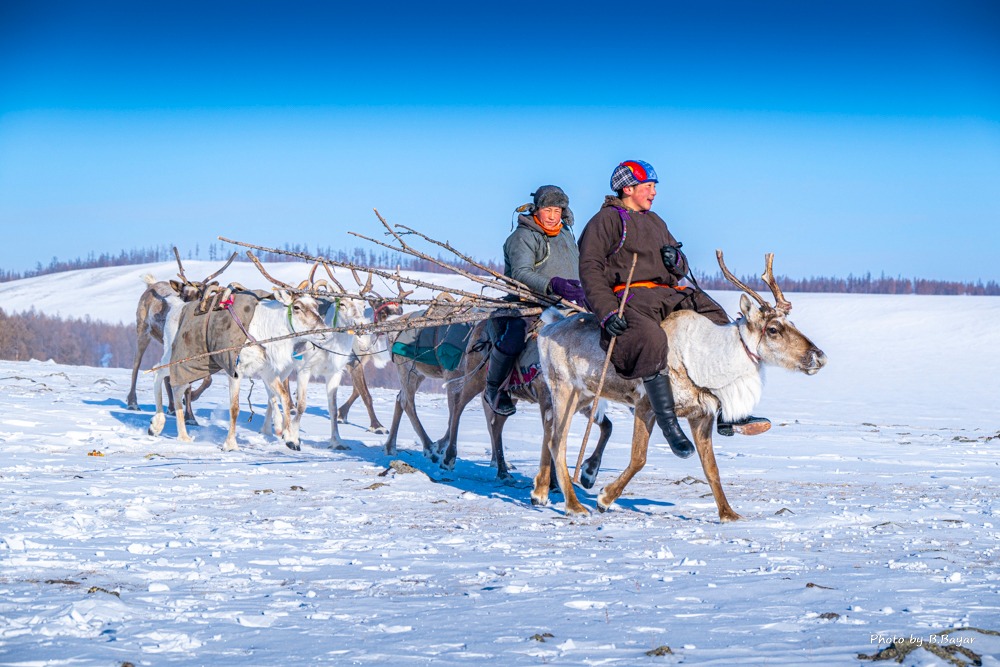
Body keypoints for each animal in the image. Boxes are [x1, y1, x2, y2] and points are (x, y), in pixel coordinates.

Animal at [125, 249, 237, 421]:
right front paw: (189, 415)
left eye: (200, 294)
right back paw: (133, 402)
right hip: (143, 330)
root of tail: (151, 285)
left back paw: (172, 407)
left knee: (165, 372)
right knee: (136, 364)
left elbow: (207, 379)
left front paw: (190, 407)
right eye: (183, 295)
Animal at [533, 251, 827, 520]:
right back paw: (574, 505)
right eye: (774, 329)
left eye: (792, 323)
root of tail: (548, 327)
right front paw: (605, 498)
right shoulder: (646, 405)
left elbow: (712, 469)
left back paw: (541, 492)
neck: (707, 361)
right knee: (557, 441)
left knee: (549, 431)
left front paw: (729, 514)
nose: (819, 356)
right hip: (564, 389)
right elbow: (639, 457)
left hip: (583, 395)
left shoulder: (702, 415)